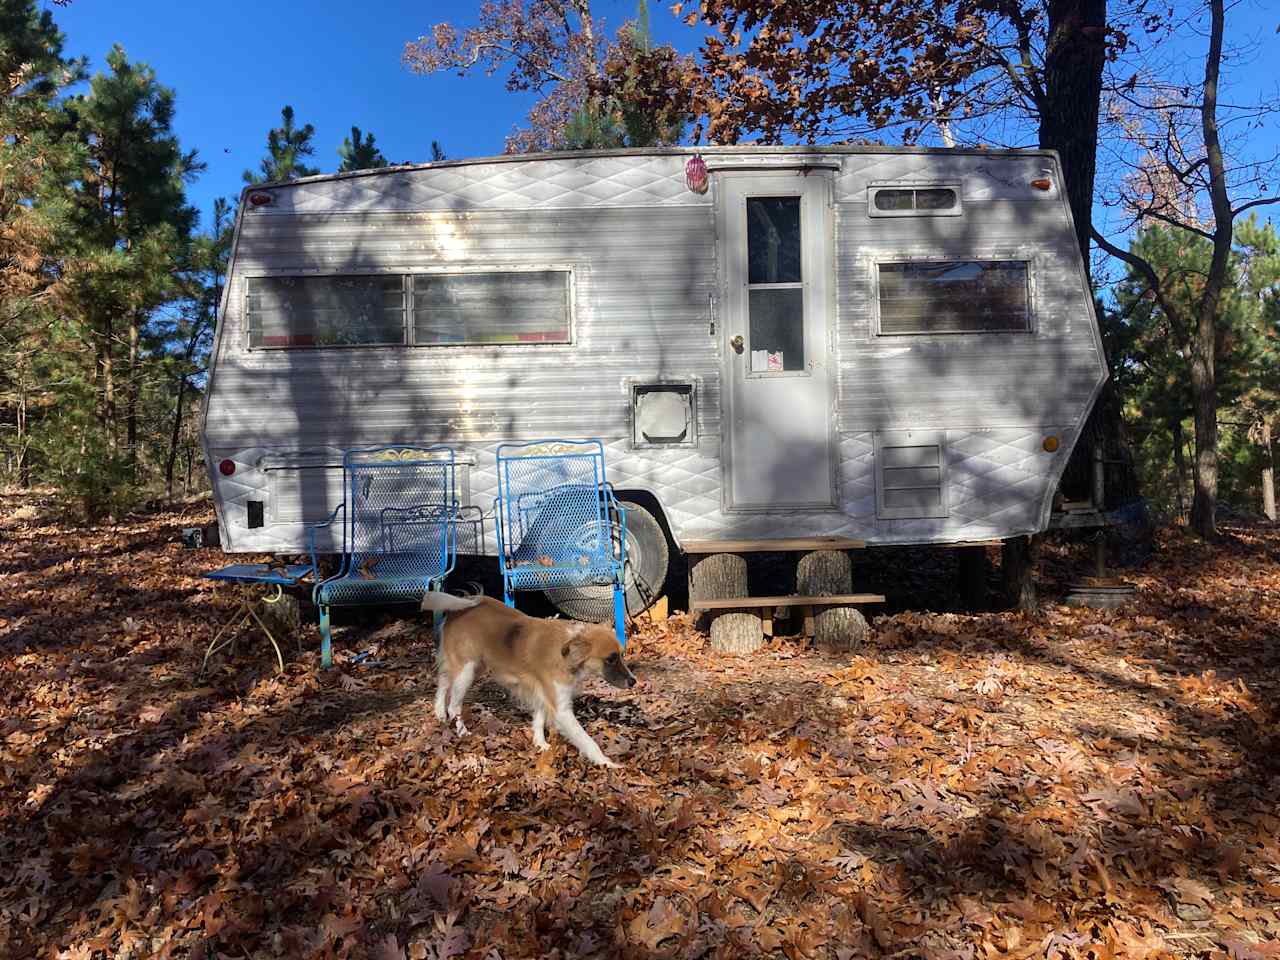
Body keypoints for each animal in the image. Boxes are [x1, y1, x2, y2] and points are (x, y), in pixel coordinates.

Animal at [422, 593, 637, 768]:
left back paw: (439, 712)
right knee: (454, 706)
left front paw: (540, 743)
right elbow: (586, 739)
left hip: (473, 666)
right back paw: (462, 732)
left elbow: (539, 719)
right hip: (466, 671)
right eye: (610, 659)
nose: (634, 682)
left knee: (443, 682)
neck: (565, 652)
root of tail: (463, 605)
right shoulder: (561, 709)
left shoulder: (541, 691)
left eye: (621, 655)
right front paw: (606, 762)